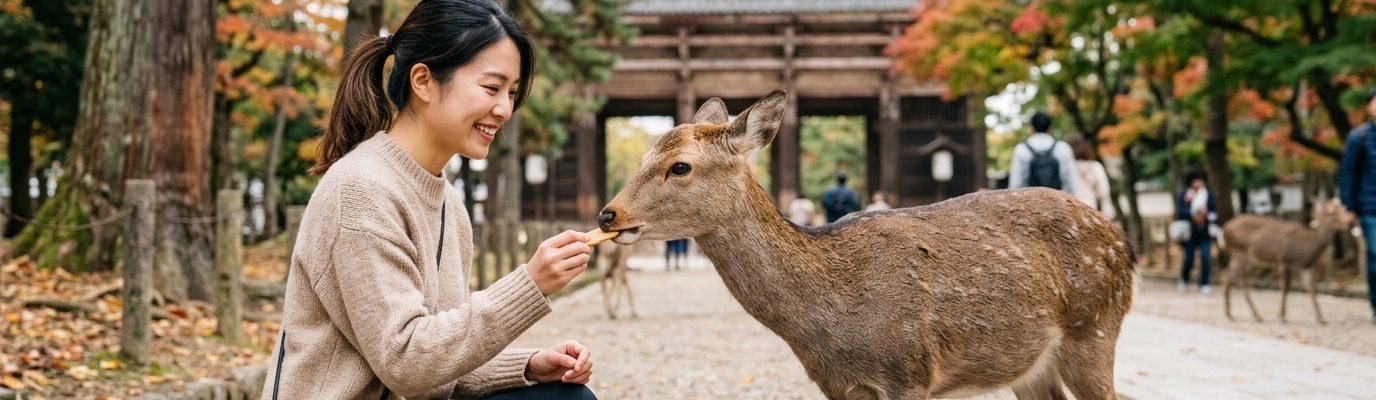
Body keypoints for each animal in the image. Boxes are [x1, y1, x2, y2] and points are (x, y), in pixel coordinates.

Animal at [596, 90, 1137, 400]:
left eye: (680, 166)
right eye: (644, 156)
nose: (608, 214)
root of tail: (1123, 242)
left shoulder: (910, 373)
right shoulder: (839, 386)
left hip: (1094, 329)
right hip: (1029, 364)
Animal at [1221, 198, 1349, 324]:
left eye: (1343, 207)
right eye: (1331, 211)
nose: (1349, 221)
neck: (1308, 248)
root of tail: (1225, 228)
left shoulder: (1307, 267)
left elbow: (1312, 289)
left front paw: (1321, 318)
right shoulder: (1284, 260)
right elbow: (1286, 288)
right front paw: (1282, 316)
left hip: (1245, 258)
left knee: (1227, 276)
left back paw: (1229, 313)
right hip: (1240, 252)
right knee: (1241, 280)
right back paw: (1257, 315)